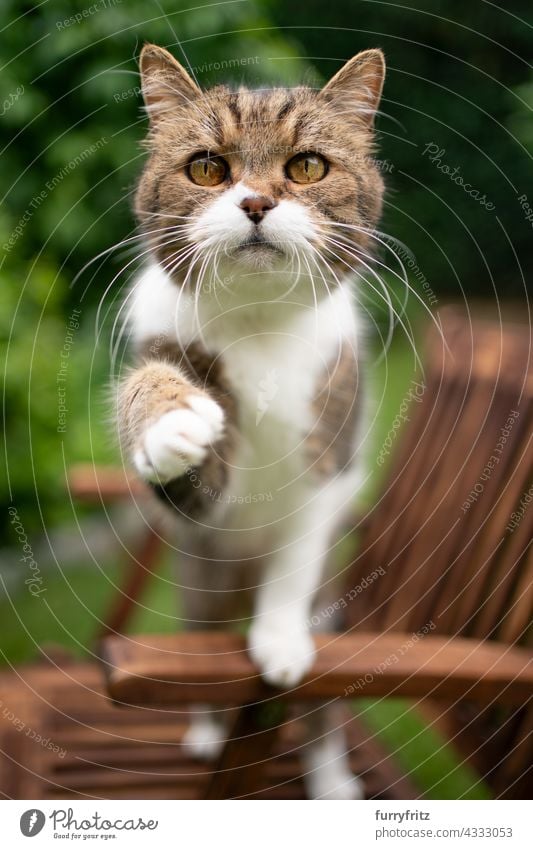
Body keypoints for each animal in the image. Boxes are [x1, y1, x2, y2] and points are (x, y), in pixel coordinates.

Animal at [116, 43, 384, 800]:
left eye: (307, 166)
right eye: (207, 167)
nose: (257, 201)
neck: (260, 321)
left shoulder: (331, 450)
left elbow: (295, 555)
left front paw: (281, 642)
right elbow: (156, 401)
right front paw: (170, 424)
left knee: (321, 711)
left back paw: (331, 780)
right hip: (198, 586)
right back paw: (208, 732)